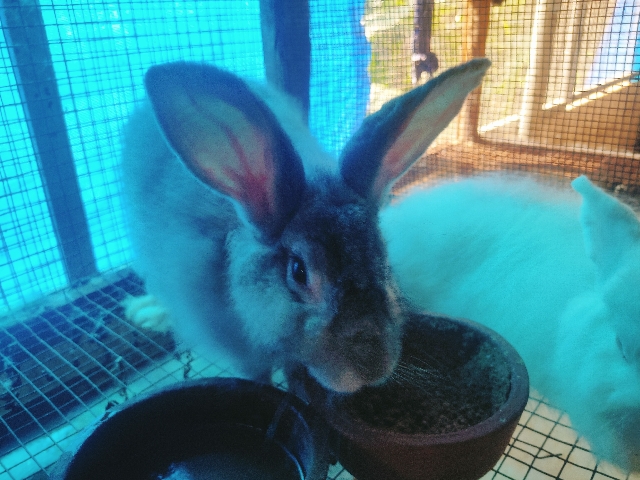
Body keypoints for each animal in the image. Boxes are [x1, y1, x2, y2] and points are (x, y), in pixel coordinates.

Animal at [120, 58, 491, 393]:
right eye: (299, 272)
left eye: (383, 262)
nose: (372, 367)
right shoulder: (243, 352)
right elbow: (258, 376)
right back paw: (146, 312)